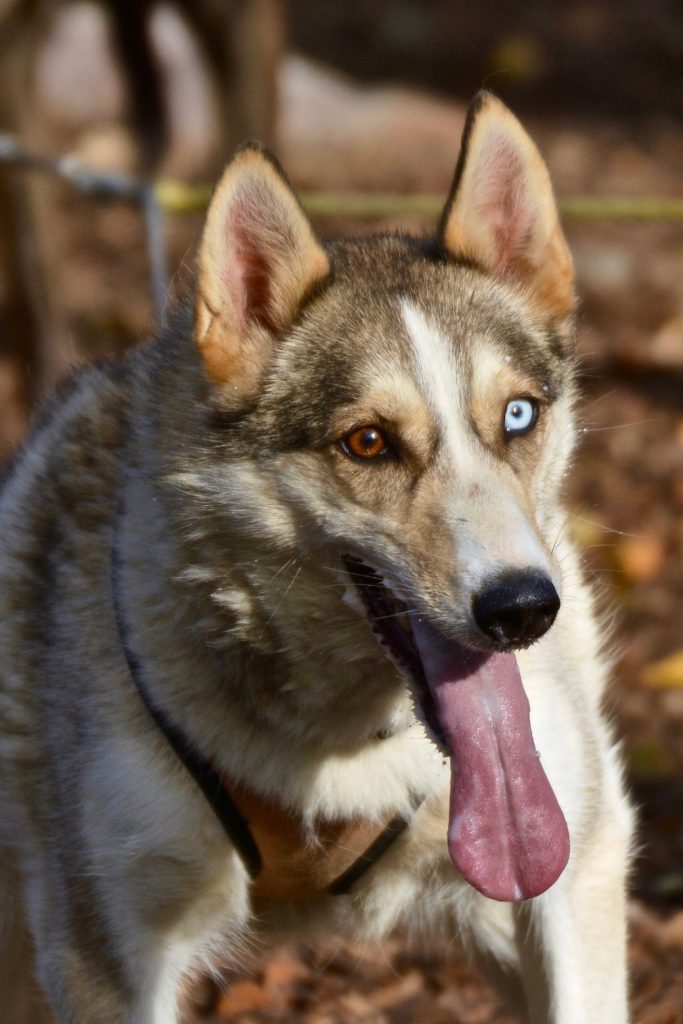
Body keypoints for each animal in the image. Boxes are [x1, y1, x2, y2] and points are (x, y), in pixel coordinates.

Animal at [0, 96, 634, 1024]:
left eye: (516, 415)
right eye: (367, 442)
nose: (520, 608)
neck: (344, 751)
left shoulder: (572, 865)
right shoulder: (107, 963)